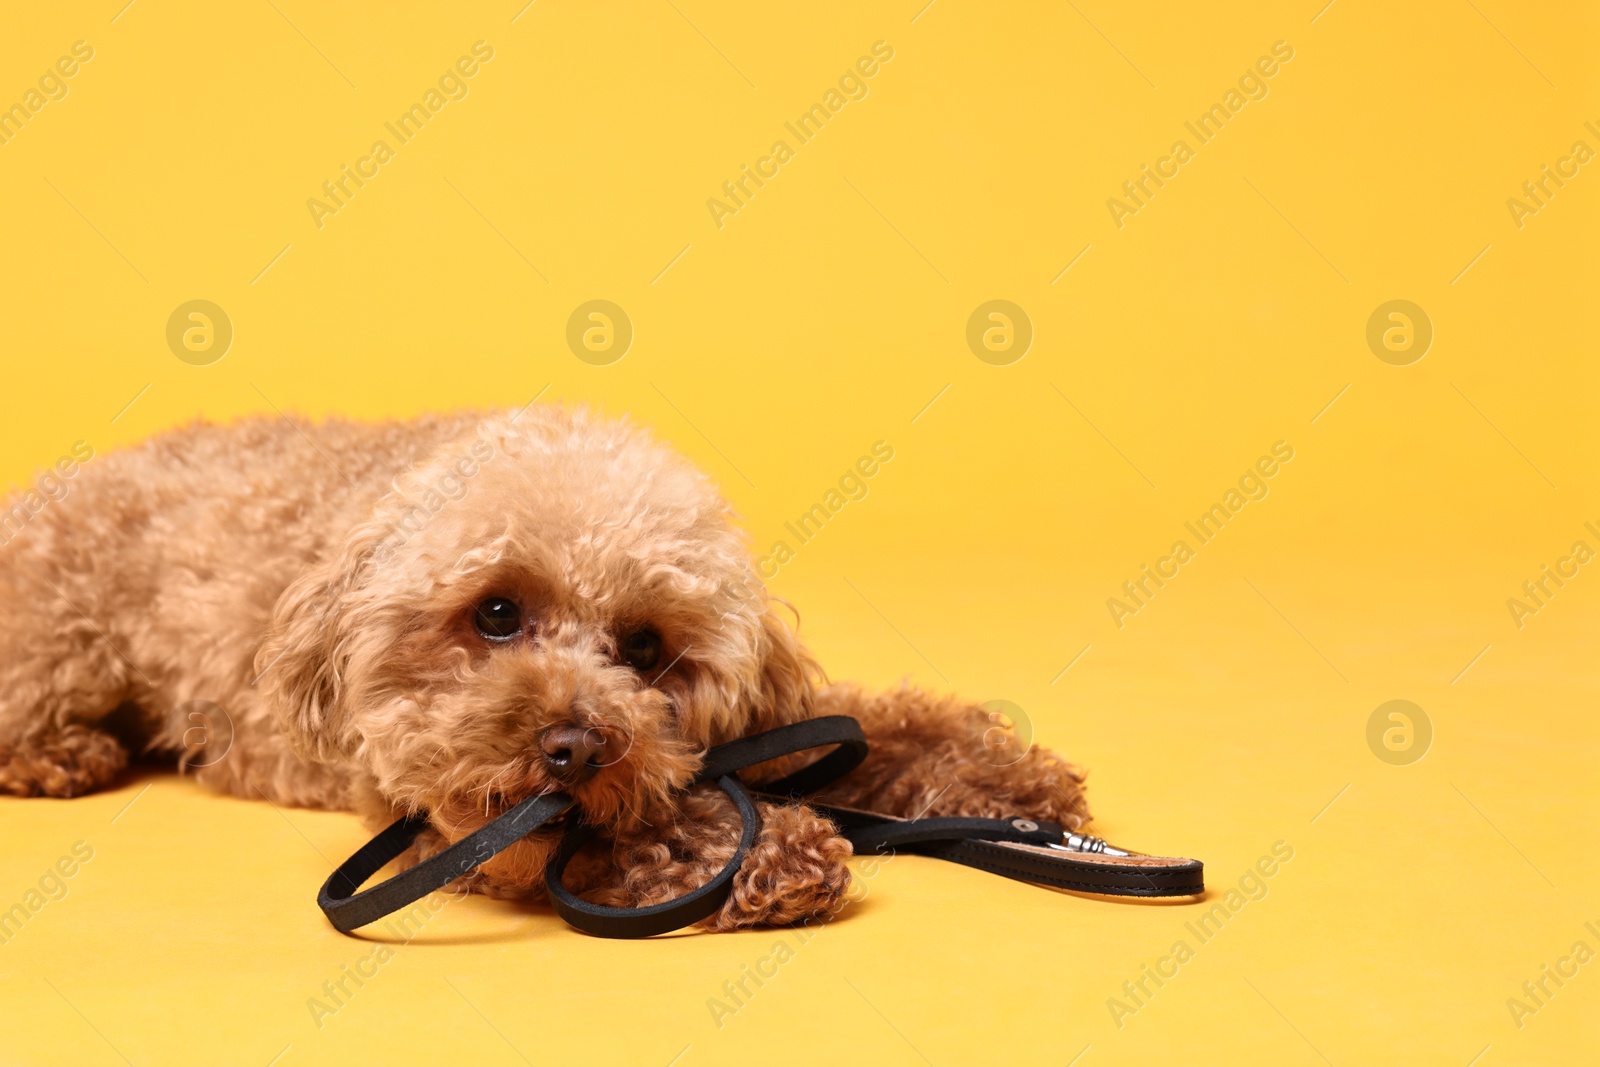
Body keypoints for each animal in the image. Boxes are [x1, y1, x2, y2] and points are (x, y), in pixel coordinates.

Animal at [0, 406, 1088, 927]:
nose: (572, 745)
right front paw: (755, 849)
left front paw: (1007, 782)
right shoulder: (439, 812)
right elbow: (618, 831)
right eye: (495, 613)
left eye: (644, 647)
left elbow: (877, 718)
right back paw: (60, 754)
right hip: (63, 630)